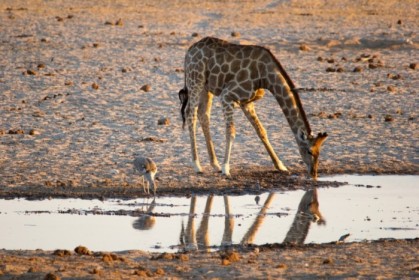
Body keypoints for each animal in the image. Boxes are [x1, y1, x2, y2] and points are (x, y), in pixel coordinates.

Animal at [179, 36, 330, 178]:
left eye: (319, 152)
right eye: (309, 151)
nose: (313, 174)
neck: (266, 76)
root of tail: (189, 51)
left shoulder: (247, 102)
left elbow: (261, 131)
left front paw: (280, 166)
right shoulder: (227, 96)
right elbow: (231, 131)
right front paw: (226, 168)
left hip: (206, 87)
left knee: (203, 115)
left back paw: (214, 164)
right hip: (195, 80)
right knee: (190, 114)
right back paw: (197, 165)